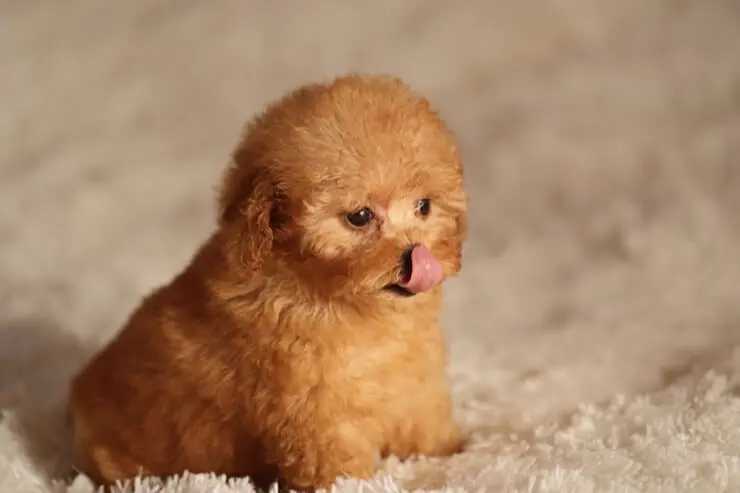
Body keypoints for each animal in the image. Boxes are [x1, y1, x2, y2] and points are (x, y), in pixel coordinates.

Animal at [66, 74, 466, 492]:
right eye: (359, 216)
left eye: (424, 206)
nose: (418, 255)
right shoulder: (316, 413)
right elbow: (335, 465)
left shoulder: (416, 381)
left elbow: (427, 422)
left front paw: (452, 450)